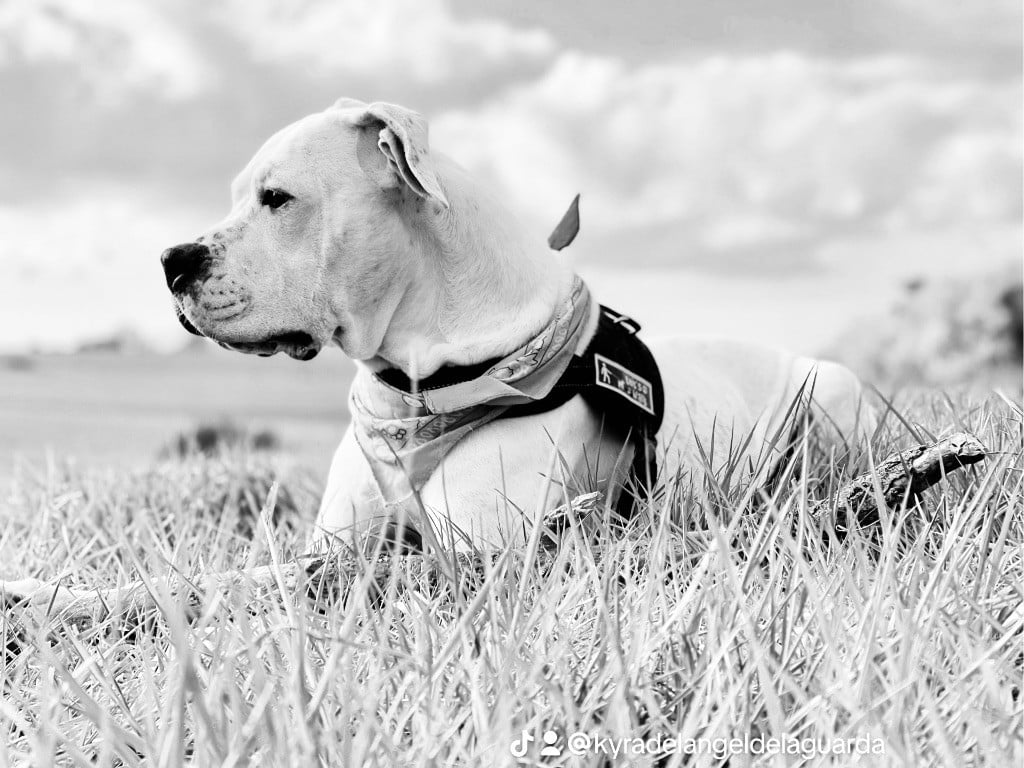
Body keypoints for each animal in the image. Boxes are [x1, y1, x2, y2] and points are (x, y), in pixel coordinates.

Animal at [159, 97, 872, 552]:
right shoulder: (337, 538)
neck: (417, 387)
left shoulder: (471, 553)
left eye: (277, 198)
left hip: (834, 390)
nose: (171, 261)